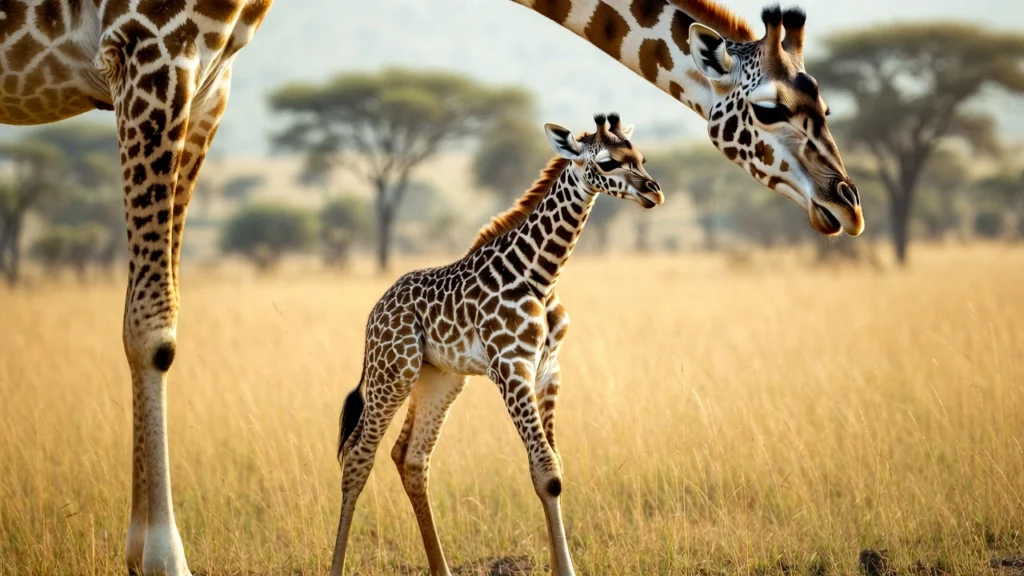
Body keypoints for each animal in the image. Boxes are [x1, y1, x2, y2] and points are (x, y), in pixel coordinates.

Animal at [1, 1, 271, 575]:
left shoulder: (211, 80)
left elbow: (147, 312)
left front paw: (139, 549)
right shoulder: (150, 43)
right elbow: (153, 329)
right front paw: (165, 556)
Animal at [330, 113, 662, 576]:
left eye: (641, 157)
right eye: (609, 162)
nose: (654, 191)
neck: (540, 275)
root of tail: (374, 312)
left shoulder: (548, 370)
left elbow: (554, 465)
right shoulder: (510, 367)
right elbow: (546, 473)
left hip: (441, 379)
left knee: (411, 458)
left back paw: (441, 570)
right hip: (393, 371)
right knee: (359, 454)